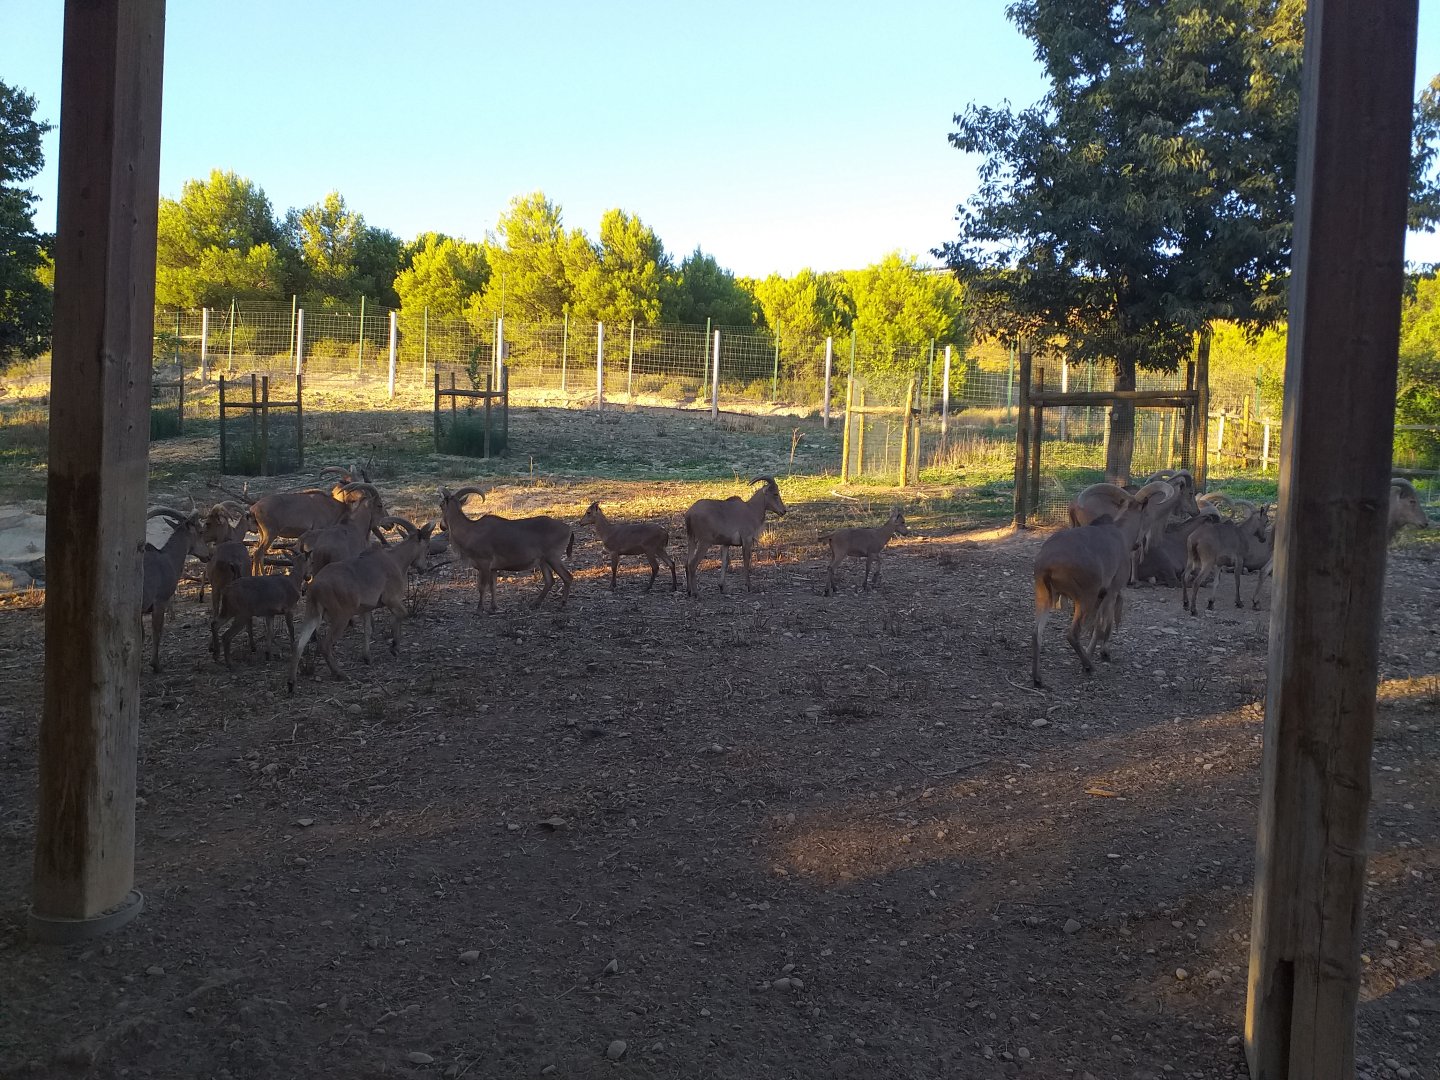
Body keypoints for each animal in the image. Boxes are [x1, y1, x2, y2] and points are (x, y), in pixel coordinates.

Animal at [141, 507, 209, 673]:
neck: (168, 558)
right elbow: (157, 631)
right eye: (201, 531)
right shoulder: (160, 601)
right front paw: (155, 664)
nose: (209, 555)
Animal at [287, 517, 434, 691]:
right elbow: (401, 614)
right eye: (427, 546)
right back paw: (340, 674)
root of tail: (315, 587)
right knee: (325, 645)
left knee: (299, 644)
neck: (397, 561)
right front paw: (394, 647)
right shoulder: (391, 599)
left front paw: (367, 657)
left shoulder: (366, 609)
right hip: (341, 617)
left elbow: (368, 630)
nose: (424, 568)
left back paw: (291, 683)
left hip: (313, 613)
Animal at [437, 487, 574, 613]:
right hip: (543, 561)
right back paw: (535, 604)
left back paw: (562, 603)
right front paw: (494, 607)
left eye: (441, 505)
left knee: (567, 577)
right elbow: (493, 586)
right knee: (549, 580)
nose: (442, 526)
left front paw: (479, 609)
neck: (470, 530)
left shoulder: (484, 563)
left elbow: (482, 587)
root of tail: (569, 529)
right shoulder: (493, 568)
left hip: (553, 558)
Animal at [1031, 496, 1156, 688]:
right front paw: (1102, 652)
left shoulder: (1101, 595)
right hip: (1084, 598)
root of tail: (1048, 563)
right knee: (1073, 633)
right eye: (1146, 515)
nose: (1138, 544)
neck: (1121, 533)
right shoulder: (1111, 591)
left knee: (1037, 632)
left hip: (1044, 595)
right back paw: (1088, 666)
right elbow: (1102, 624)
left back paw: (1037, 677)